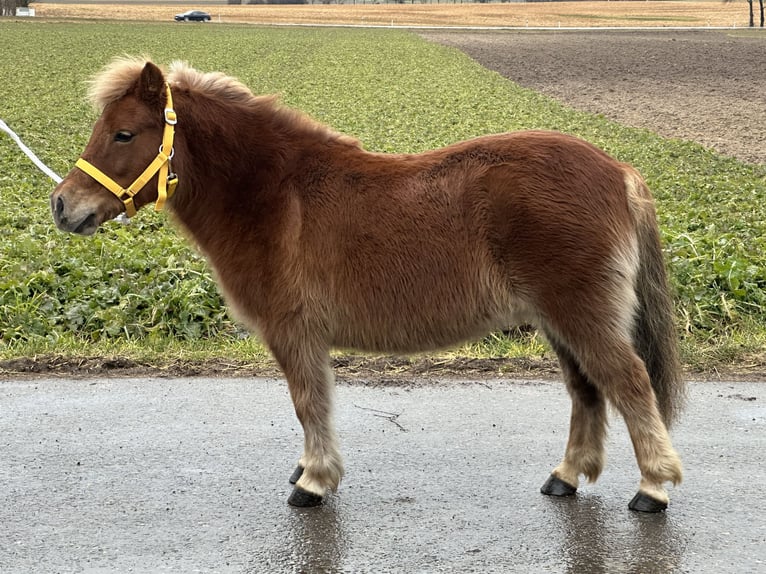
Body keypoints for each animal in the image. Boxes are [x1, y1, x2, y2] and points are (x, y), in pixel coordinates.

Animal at [51, 56, 688, 510]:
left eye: (125, 134)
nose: (62, 205)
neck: (273, 192)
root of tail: (619, 171)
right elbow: (314, 404)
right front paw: (309, 470)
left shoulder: (294, 331)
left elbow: (308, 403)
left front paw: (313, 481)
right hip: (560, 321)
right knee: (587, 391)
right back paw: (566, 476)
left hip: (581, 315)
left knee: (629, 384)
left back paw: (652, 488)